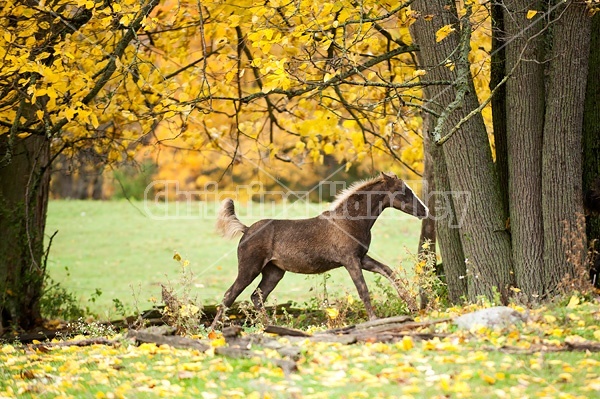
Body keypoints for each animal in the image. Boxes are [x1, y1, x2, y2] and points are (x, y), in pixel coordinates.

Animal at [210, 171, 426, 328]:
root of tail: (246, 229)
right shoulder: (350, 260)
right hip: (250, 268)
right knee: (230, 295)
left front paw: (412, 306)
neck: (351, 221)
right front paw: (374, 320)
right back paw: (213, 330)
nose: (425, 210)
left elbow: (388, 271)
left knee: (257, 296)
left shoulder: (361, 258)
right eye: (402, 191)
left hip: (274, 272)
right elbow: (363, 289)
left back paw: (270, 326)